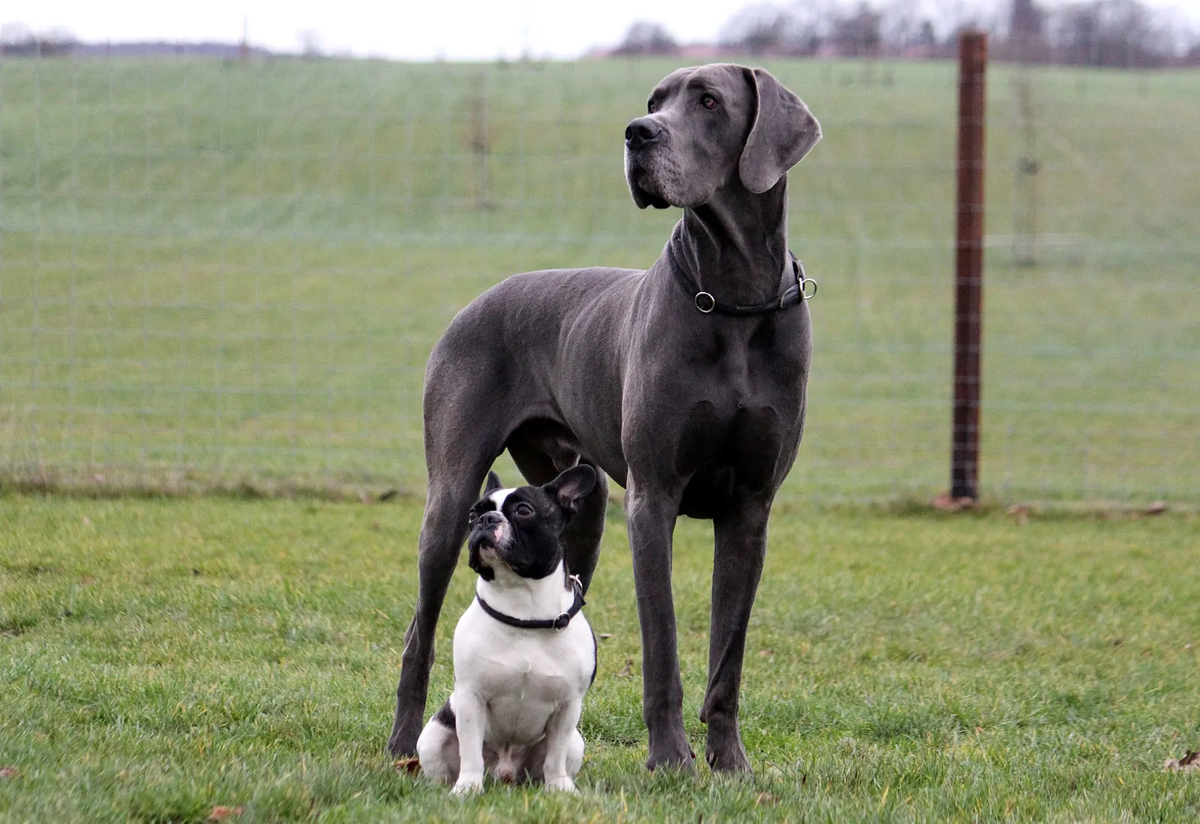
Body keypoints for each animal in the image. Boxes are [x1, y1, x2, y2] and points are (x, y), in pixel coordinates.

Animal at [388, 64, 820, 772]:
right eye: (654, 100)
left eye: (709, 101)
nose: (637, 132)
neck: (733, 295)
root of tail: (479, 299)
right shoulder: (653, 498)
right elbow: (663, 643)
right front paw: (671, 759)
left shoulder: (751, 509)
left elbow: (727, 654)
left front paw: (729, 762)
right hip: (450, 499)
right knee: (418, 631)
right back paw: (403, 743)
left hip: (580, 510)